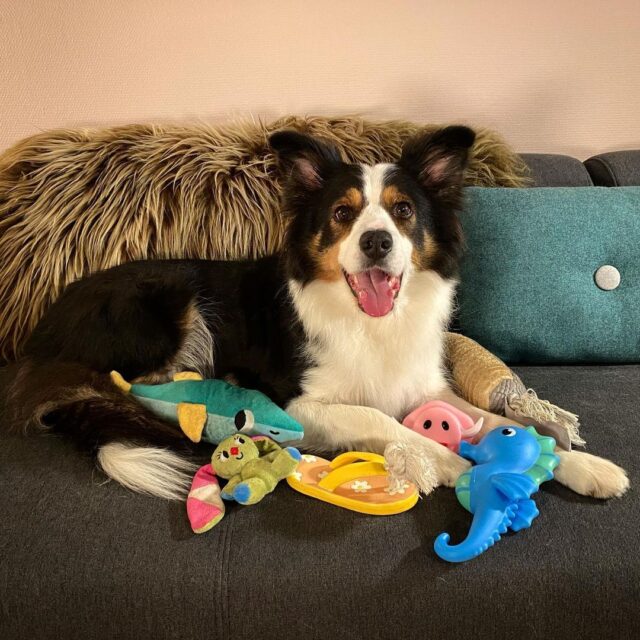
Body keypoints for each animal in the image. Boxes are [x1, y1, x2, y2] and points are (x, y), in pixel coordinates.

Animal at [2, 126, 628, 500]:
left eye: (403, 211)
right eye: (343, 214)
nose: (377, 241)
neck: (372, 322)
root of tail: (44, 332)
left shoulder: (428, 387)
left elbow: (499, 421)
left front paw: (582, 466)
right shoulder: (301, 401)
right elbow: (380, 417)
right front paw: (447, 462)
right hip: (167, 303)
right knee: (131, 387)